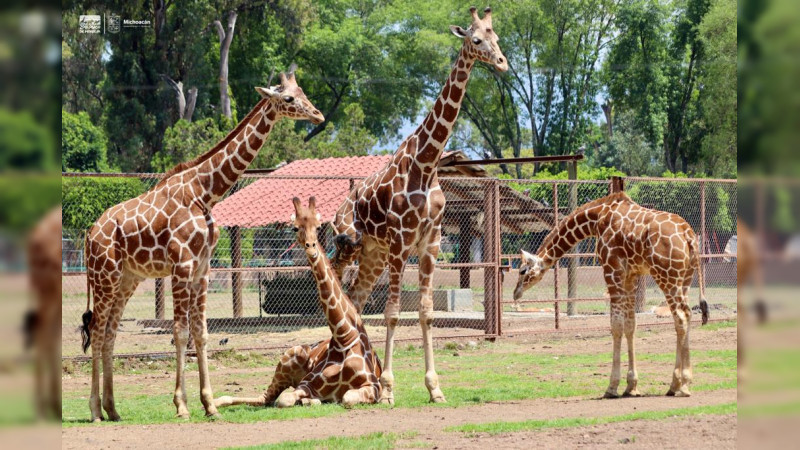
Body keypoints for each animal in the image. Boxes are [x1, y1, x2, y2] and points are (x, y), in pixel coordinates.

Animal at [77, 70, 322, 422]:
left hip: (127, 279)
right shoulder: (181, 264)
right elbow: (180, 332)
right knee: (96, 332)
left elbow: (201, 333)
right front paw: (181, 405)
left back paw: (113, 409)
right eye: (288, 98)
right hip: (104, 276)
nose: (318, 115)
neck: (206, 192)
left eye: (302, 92)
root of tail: (89, 234)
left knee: (109, 333)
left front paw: (209, 404)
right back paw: (96, 410)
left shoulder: (203, 268)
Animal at [216, 197, 382, 408]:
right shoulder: (307, 383)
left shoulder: (374, 386)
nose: (311, 247)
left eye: (318, 226)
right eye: (295, 227)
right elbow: (285, 399)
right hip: (289, 357)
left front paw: (313, 401)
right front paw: (309, 401)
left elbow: (347, 397)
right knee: (266, 398)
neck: (344, 336)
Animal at [330, 4, 506, 404]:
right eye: (476, 40)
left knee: (356, 300)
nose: (503, 63)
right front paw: (389, 389)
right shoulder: (401, 241)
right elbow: (394, 312)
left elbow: (425, 312)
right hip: (355, 247)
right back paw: (354, 371)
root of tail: (340, 208)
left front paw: (434, 387)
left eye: (497, 38)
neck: (426, 164)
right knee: (346, 297)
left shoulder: (431, 241)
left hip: (373, 255)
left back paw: (361, 369)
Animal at [512, 192, 708, 398]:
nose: (515, 293)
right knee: (687, 315)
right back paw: (674, 385)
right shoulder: (631, 275)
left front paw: (612, 387)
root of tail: (688, 234)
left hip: (666, 275)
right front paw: (631, 386)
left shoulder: (611, 270)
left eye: (522, 271)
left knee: (681, 316)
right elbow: (630, 325)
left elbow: (616, 325)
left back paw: (683, 384)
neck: (597, 218)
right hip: (685, 278)